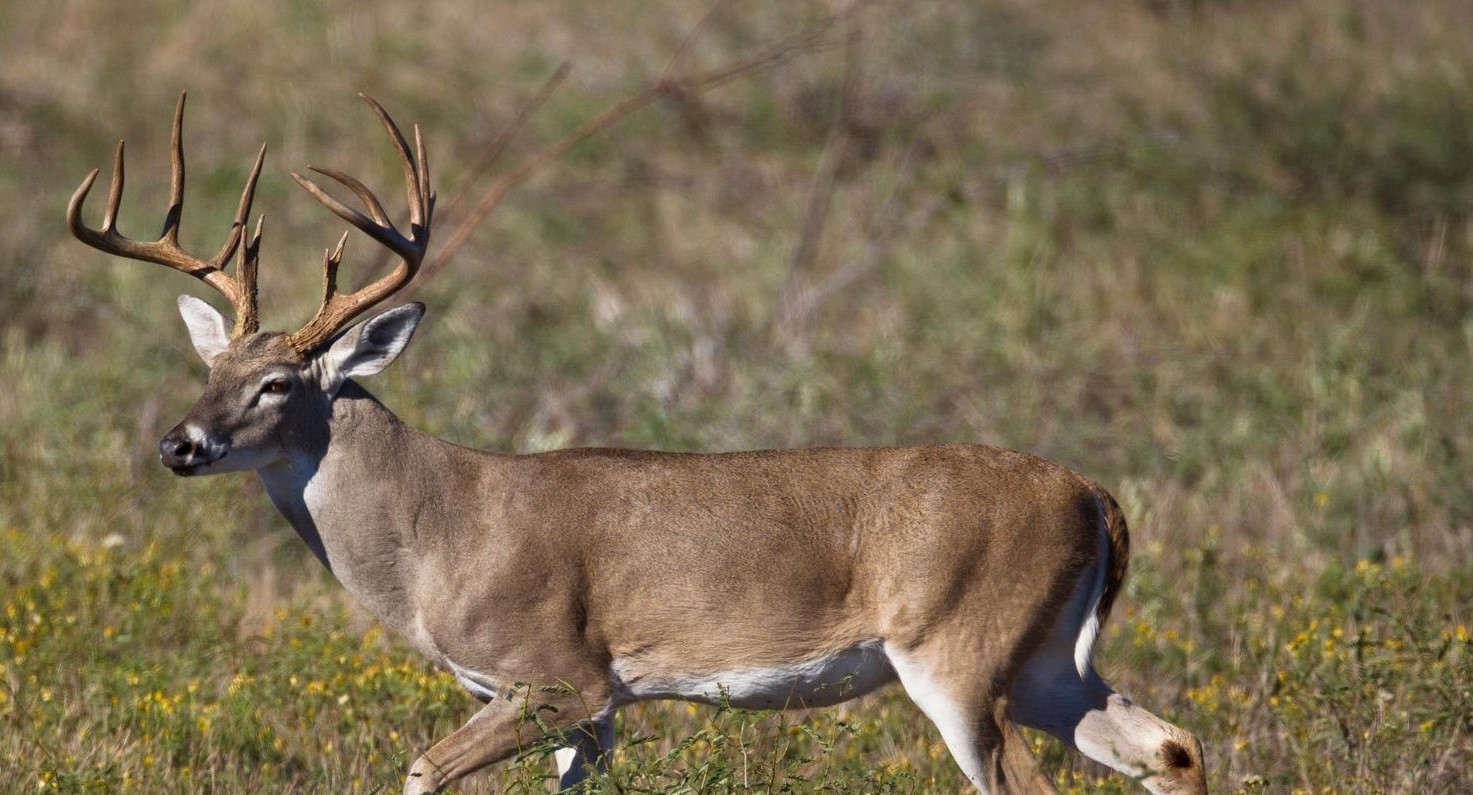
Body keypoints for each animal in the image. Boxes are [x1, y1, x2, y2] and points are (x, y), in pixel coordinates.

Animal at [63, 94, 1201, 795]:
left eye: (278, 383)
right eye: (207, 369)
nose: (177, 444)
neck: (437, 533)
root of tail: (1096, 495)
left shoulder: (559, 675)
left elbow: (420, 768)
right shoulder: (593, 711)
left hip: (961, 651)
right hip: (1044, 659)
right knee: (1170, 746)